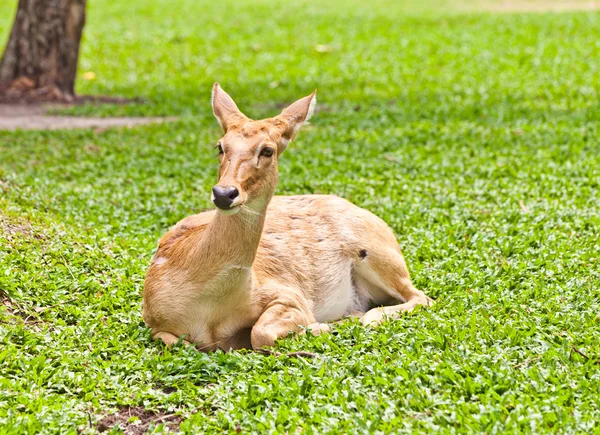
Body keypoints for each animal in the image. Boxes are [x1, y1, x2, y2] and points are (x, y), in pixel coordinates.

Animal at [142, 83, 432, 352]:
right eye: (220, 146)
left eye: (268, 150)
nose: (224, 193)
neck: (208, 308)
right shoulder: (154, 320)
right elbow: (177, 342)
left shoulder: (289, 294)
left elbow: (260, 333)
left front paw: (322, 326)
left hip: (378, 254)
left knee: (420, 296)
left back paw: (365, 317)